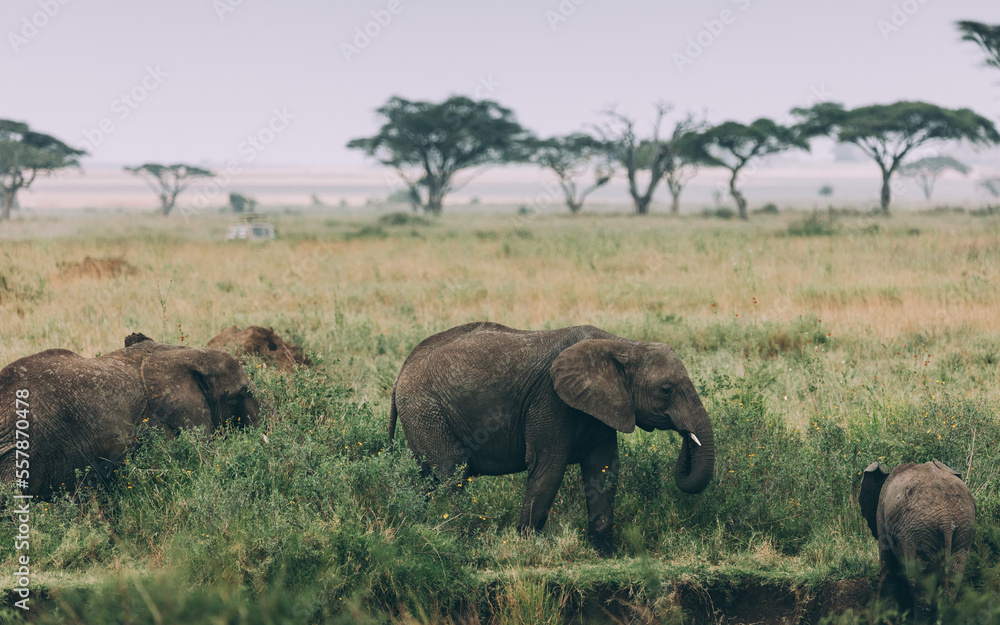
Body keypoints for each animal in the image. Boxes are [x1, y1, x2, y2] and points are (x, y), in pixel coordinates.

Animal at [388, 322, 715, 556]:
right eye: (666, 390)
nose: (686, 436)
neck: (622, 344)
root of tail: (401, 371)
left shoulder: (601, 406)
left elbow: (603, 469)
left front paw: (605, 554)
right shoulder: (550, 399)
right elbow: (549, 466)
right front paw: (526, 546)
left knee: (427, 480)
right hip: (427, 411)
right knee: (451, 474)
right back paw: (461, 538)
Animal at [860, 460, 976, 623]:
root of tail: (947, 519)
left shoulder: (881, 517)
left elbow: (889, 568)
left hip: (919, 531)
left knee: (921, 587)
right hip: (963, 528)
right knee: (953, 580)